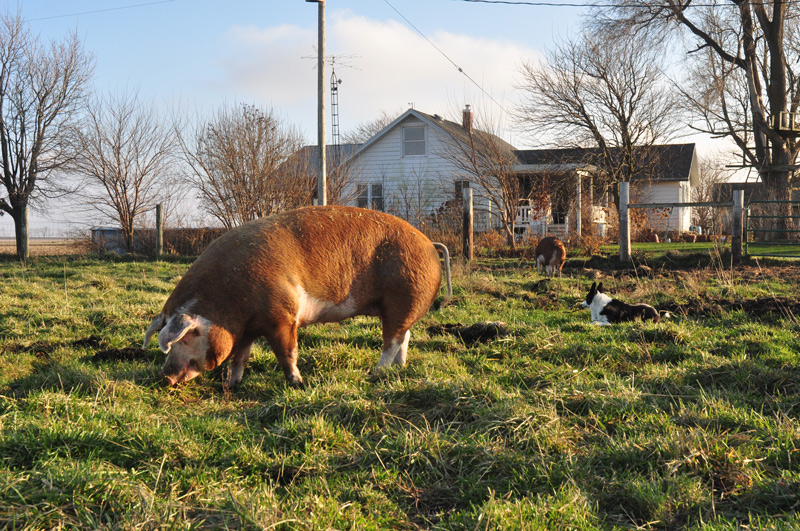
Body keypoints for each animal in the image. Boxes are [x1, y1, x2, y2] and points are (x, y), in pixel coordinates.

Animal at [143, 206, 451, 388]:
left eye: (188, 336)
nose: (164, 375)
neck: (229, 304)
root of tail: (428, 242)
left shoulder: (282, 316)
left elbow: (287, 352)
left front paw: (297, 383)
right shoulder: (247, 329)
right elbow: (239, 357)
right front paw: (232, 386)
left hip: (403, 297)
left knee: (392, 341)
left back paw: (375, 373)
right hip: (400, 306)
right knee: (404, 337)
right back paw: (398, 370)